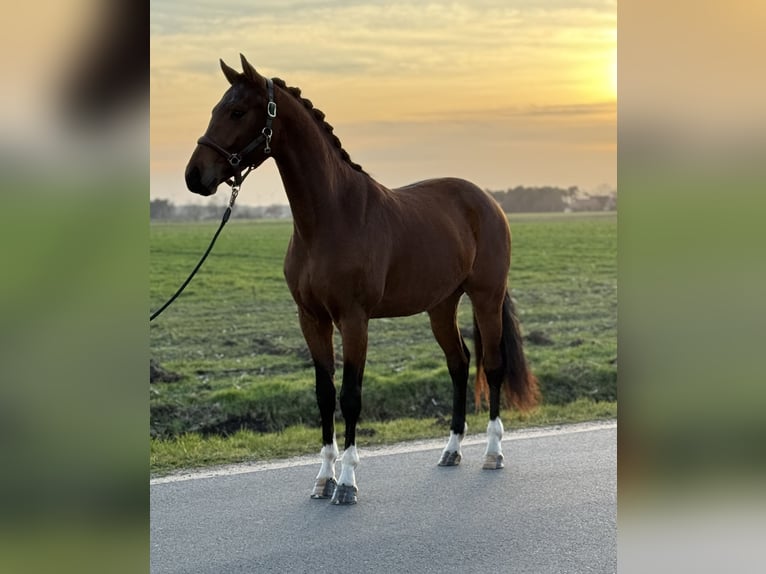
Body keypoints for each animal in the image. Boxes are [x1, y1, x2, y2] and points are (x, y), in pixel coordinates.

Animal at [185, 53, 540, 504]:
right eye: (216, 109)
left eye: (236, 111)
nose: (194, 176)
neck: (330, 217)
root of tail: (487, 201)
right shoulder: (311, 319)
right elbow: (325, 395)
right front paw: (323, 478)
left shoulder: (354, 320)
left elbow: (351, 396)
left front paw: (348, 483)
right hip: (440, 305)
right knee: (459, 364)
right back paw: (451, 449)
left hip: (486, 297)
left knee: (492, 365)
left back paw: (493, 452)